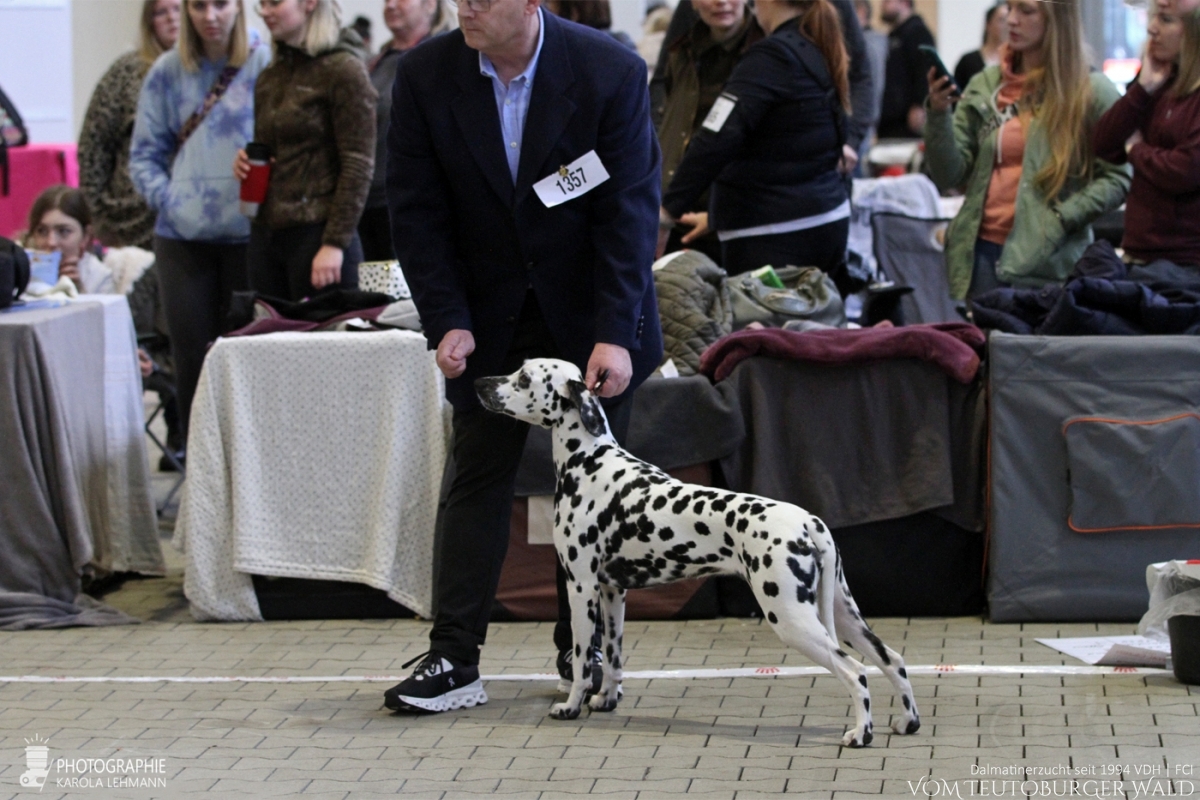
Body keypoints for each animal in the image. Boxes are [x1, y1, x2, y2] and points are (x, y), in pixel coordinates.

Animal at [472, 359, 921, 748]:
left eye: (523, 378)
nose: (479, 383)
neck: (590, 462)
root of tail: (809, 521)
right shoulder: (613, 592)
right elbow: (614, 658)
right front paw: (606, 700)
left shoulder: (580, 588)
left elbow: (584, 661)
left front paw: (571, 706)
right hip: (843, 615)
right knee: (893, 659)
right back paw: (907, 721)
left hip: (792, 618)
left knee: (855, 671)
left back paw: (861, 734)